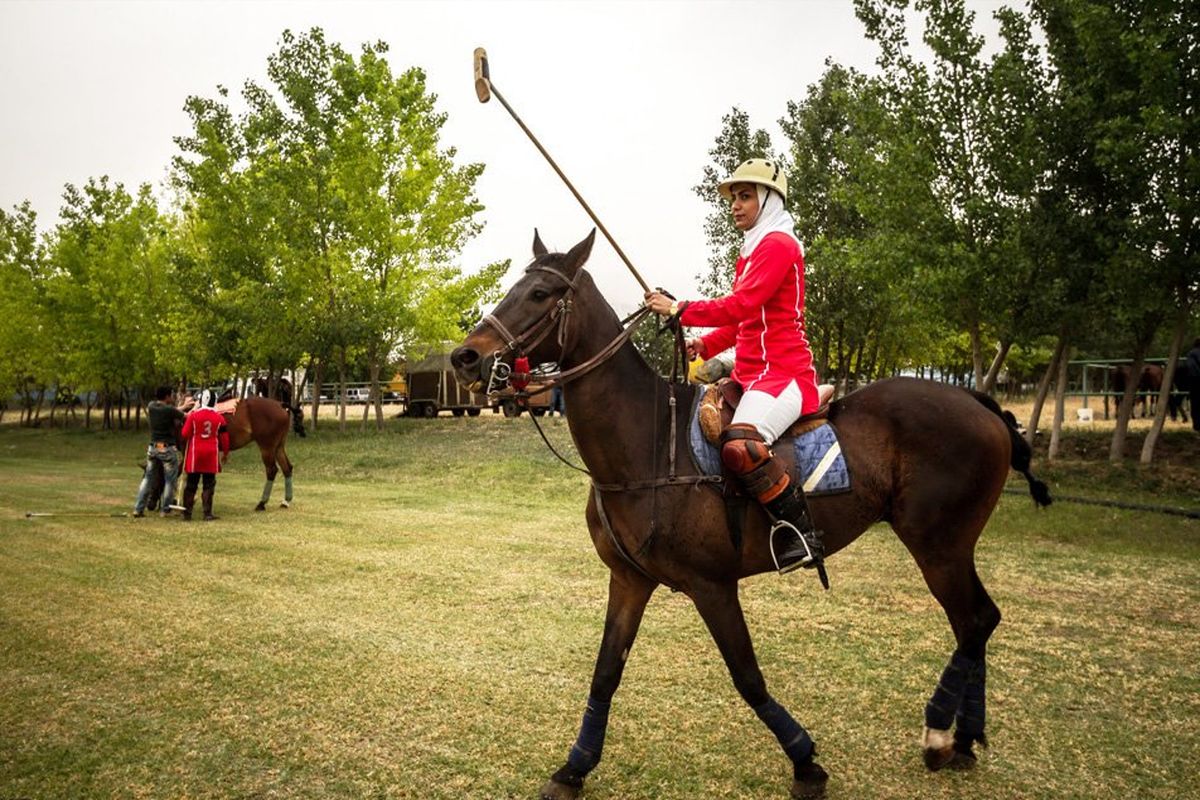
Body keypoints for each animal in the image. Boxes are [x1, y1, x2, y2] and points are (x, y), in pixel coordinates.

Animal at [451, 231, 1051, 800]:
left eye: (541, 293)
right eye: (514, 283)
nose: (465, 358)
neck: (647, 442)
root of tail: (979, 403)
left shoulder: (711, 584)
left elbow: (747, 676)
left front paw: (806, 762)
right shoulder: (629, 579)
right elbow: (604, 674)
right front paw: (573, 769)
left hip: (938, 542)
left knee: (974, 620)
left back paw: (939, 735)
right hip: (950, 544)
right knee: (979, 620)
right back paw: (966, 738)